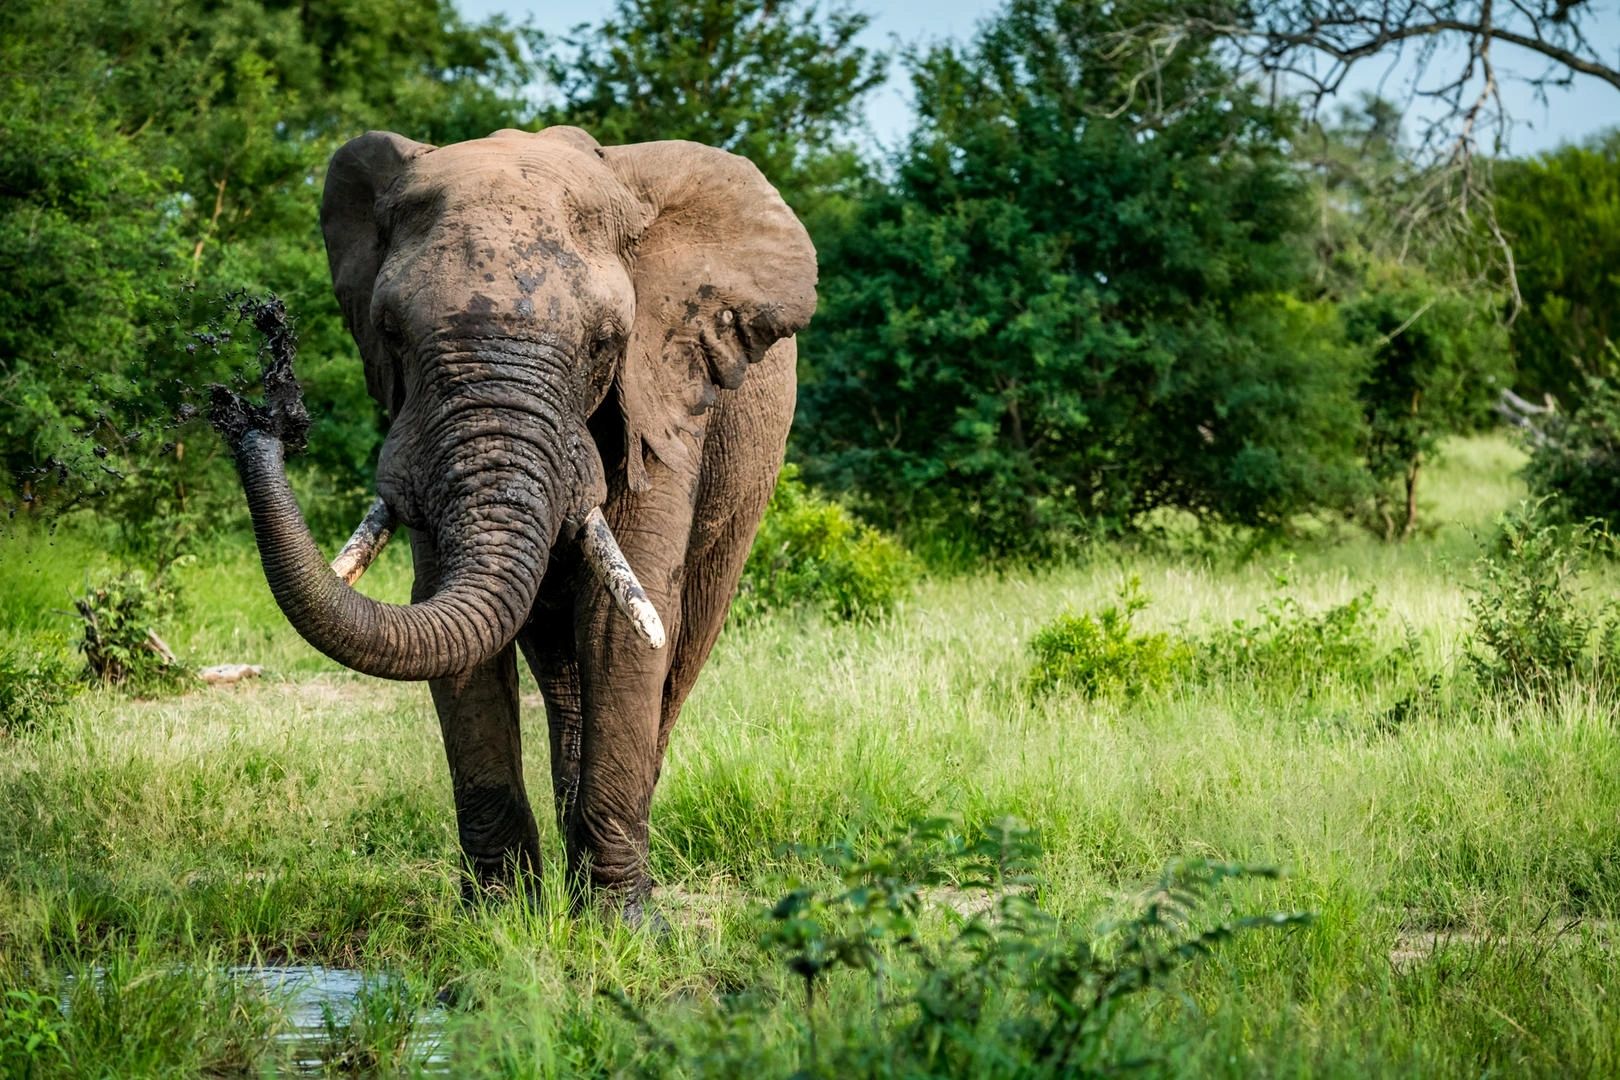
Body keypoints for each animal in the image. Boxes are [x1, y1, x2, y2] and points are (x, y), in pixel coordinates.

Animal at [213, 124, 816, 919]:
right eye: (389, 332)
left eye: (605, 342)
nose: (257, 417)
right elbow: (446, 620)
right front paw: (500, 917)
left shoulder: (666, 395)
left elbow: (622, 624)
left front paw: (624, 924)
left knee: (679, 642)